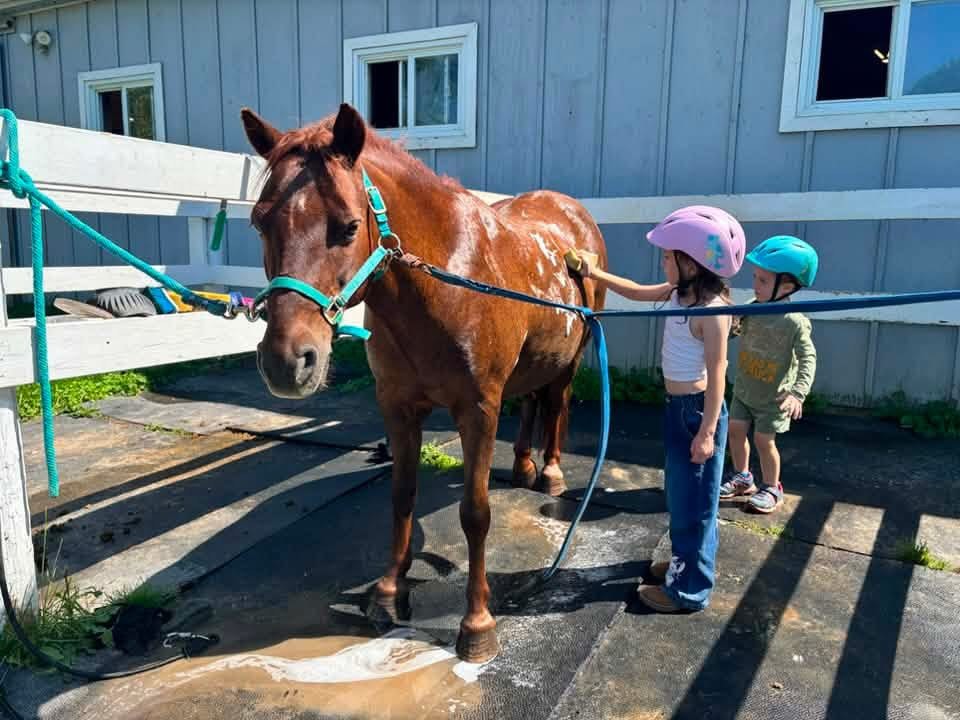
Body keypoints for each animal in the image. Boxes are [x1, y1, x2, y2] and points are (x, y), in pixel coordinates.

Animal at [241, 103, 607, 662]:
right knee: (530, 403)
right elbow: (401, 496)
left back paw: (550, 472)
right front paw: (389, 593)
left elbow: (475, 514)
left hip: (571, 358)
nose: (287, 361)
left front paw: (477, 624)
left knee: (557, 405)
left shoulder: (477, 410)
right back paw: (523, 466)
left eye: (349, 227)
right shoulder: (397, 406)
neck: (446, 280)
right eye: (259, 222)